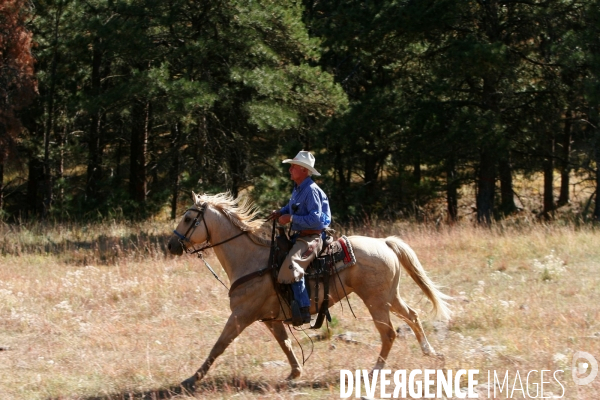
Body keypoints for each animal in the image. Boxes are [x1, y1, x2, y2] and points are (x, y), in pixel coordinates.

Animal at [168, 192, 450, 390]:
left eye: (188, 218)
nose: (172, 244)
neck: (250, 260)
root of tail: (384, 242)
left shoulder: (241, 315)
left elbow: (219, 346)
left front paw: (191, 379)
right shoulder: (270, 319)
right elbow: (285, 344)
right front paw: (295, 373)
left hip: (376, 301)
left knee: (389, 333)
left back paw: (375, 371)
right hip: (390, 296)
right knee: (412, 315)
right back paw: (430, 352)